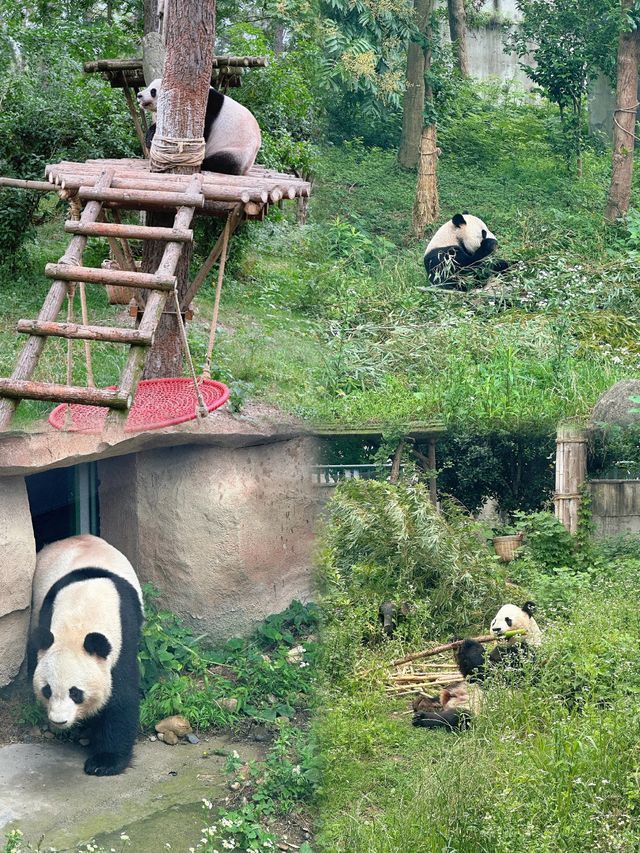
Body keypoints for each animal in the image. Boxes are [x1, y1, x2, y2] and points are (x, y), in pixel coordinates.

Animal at [29, 536, 144, 776]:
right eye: (47, 690)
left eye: (75, 693)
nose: (59, 720)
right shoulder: (47, 614)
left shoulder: (124, 636)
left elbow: (121, 697)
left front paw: (104, 762)